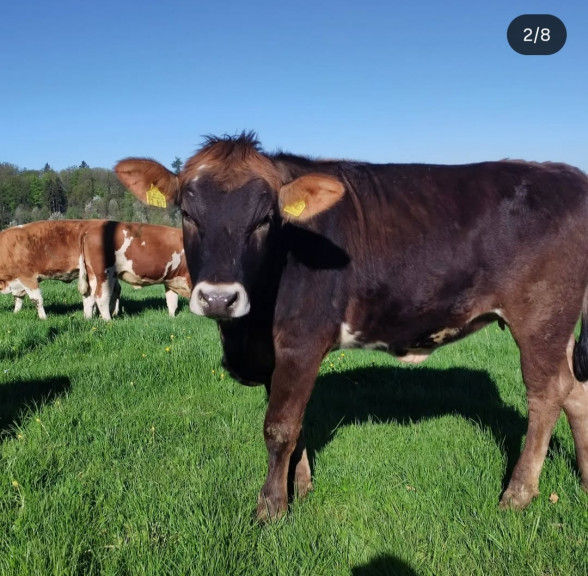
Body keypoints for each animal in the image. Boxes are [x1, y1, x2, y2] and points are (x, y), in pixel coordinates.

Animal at [115, 133, 588, 521]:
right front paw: (301, 486)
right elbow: (297, 421)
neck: (247, 334)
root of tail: (565, 173)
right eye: (187, 213)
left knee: (547, 394)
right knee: (576, 390)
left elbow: (279, 428)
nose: (218, 298)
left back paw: (518, 494)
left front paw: (271, 508)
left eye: (266, 218)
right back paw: (584, 475)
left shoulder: (301, 341)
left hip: (541, 317)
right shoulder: (275, 355)